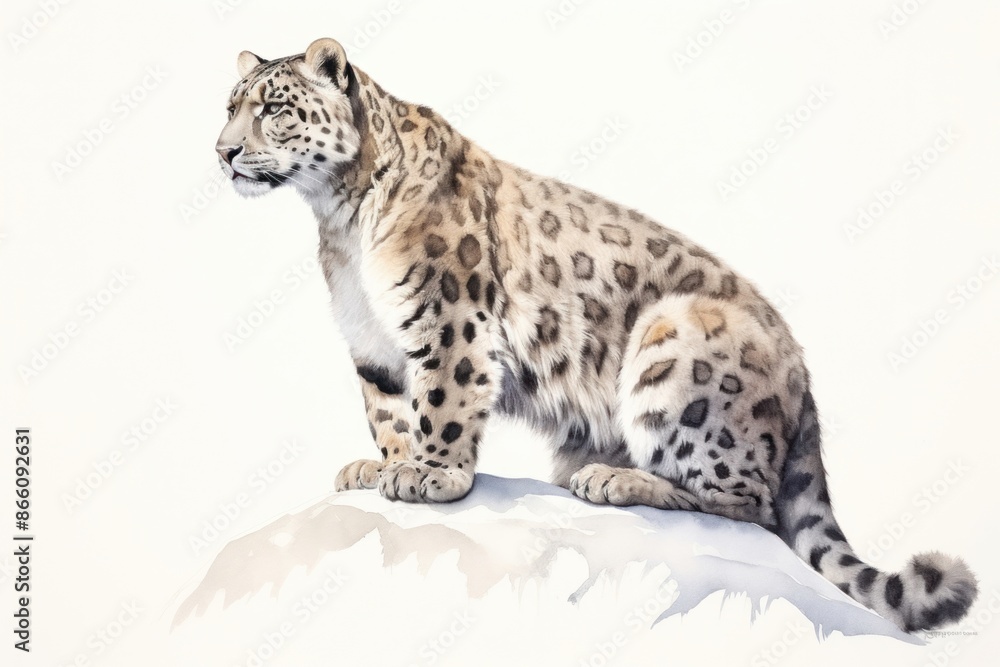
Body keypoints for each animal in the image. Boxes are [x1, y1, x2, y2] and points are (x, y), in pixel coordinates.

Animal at [215, 38, 977, 633]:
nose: (223, 153)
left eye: (275, 108)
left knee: (751, 503)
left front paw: (433, 475)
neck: (339, 216)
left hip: (674, 345)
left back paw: (617, 479)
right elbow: (390, 411)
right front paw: (384, 465)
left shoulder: (450, 315)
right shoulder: (372, 341)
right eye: (230, 106)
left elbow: (445, 399)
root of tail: (801, 370)